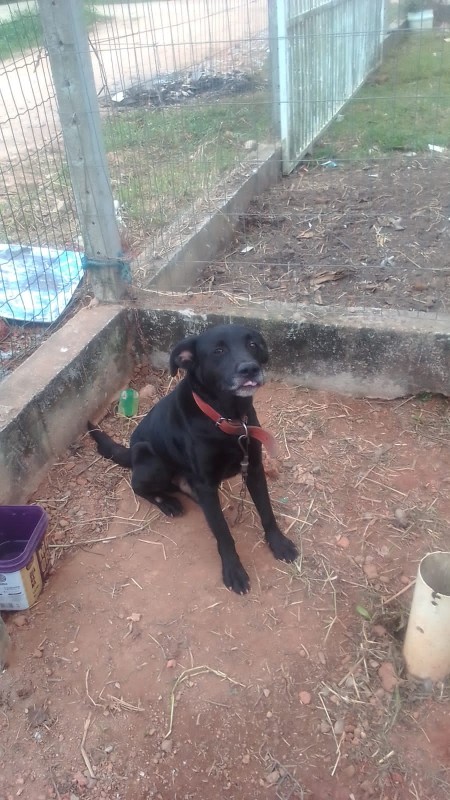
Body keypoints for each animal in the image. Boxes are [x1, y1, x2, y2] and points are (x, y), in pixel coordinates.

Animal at [88, 322, 298, 592]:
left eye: (253, 344)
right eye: (218, 350)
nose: (250, 368)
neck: (227, 418)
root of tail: (131, 453)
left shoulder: (253, 467)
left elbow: (267, 510)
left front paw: (278, 543)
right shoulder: (207, 483)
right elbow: (223, 533)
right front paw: (233, 570)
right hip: (153, 461)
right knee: (138, 486)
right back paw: (167, 502)